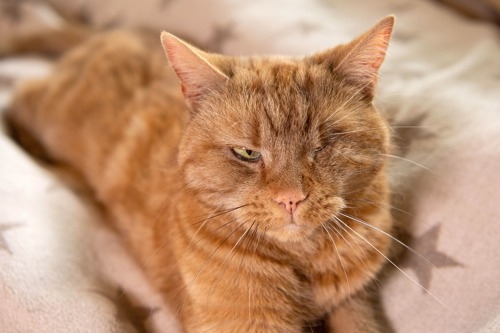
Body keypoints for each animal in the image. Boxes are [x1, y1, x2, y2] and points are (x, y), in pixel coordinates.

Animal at [3, 15, 394, 332]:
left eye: (324, 145)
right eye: (247, 153)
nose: (291, 199)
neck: (302, 264)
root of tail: (112, 32)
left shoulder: (354, 301)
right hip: (49, 114)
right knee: (19, 93)